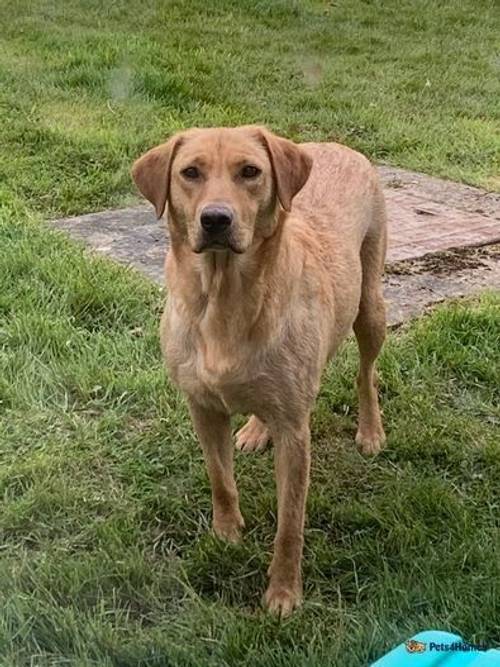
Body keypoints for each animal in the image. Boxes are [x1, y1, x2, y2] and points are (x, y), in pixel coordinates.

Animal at [131, 125, 384, 616]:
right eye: (190, 172)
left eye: (250, 172)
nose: (215, 219)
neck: (224, 298)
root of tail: (336, 144)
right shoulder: (203, 408)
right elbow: (220, 479)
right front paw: (227, 533)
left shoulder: (295, 432)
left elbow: (290, 523)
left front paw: (284, 592)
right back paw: (253, 429)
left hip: (370, 305)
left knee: (366, 374)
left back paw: (370, 430)